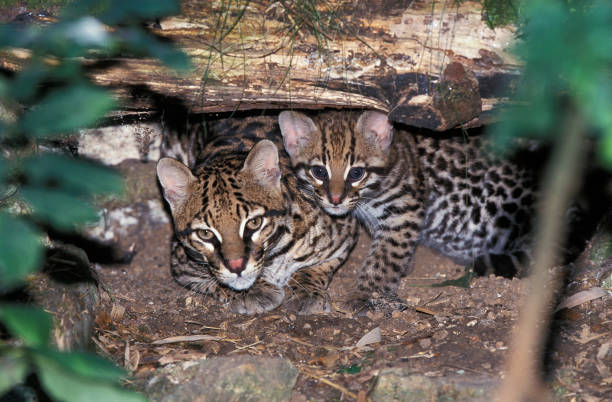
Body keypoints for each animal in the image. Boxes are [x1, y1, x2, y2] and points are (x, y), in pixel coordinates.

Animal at [158, 116, 358, 314]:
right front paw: (254, 290)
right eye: (205, 233)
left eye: (254, 222)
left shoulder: (343, 234)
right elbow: (211, 276)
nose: (236, 266)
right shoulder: (180, 260)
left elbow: (317, 267)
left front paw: (307, 290)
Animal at [280, 110, 536, 310]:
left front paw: (367, 293)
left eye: (356, 173)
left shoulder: (404, 213)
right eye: (318, 171)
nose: (334, 199)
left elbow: (385, 256)